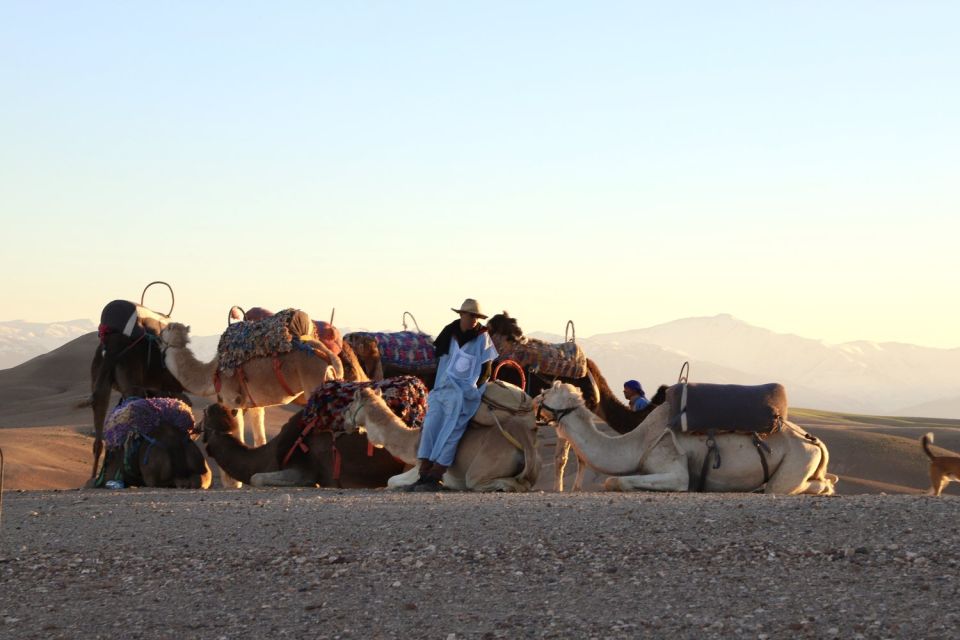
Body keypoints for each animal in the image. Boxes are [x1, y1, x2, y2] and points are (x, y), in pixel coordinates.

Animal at [162, 322, 344, 488]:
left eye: (166, 328)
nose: (160, 333)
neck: (212, 373)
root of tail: (331, 358)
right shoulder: (254, 405)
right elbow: (259, 437)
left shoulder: (231, 399)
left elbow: (233, 431)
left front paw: (232, 484)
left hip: (314, 382)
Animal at [344, 382, 540, 492]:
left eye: (351, 402)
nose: (343, 419)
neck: (413, 441)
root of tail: (525, 441)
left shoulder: (421, 463)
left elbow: (391, 480)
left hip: (483, 466)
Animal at [536, 380, 836, 496]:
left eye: (545, 392)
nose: (532, 398)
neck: (636, 444)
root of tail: (816, 442)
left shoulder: (674, 467)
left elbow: (614, 481)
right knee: (826, 480)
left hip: (797, 459)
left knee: (790, 486)